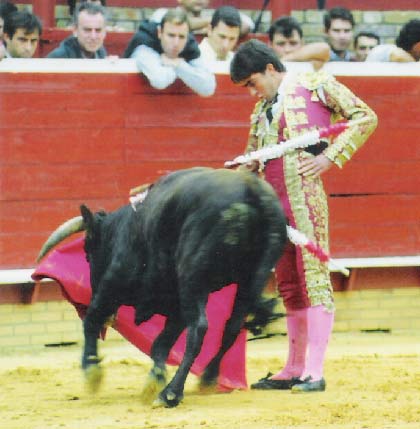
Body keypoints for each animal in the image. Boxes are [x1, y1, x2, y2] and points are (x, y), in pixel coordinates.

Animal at [37, 166, 288, 406]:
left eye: (87, 251)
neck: (121, 231)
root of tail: (251, 188)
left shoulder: (112, 285)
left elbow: (92, 319)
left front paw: (92, 371)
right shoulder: (175, 306)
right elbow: (160, 344)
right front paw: (154, 378)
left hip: (192, 277)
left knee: (199, 328)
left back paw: (171, 394)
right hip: (250, 279)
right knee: (233, 326)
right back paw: (207, 377)